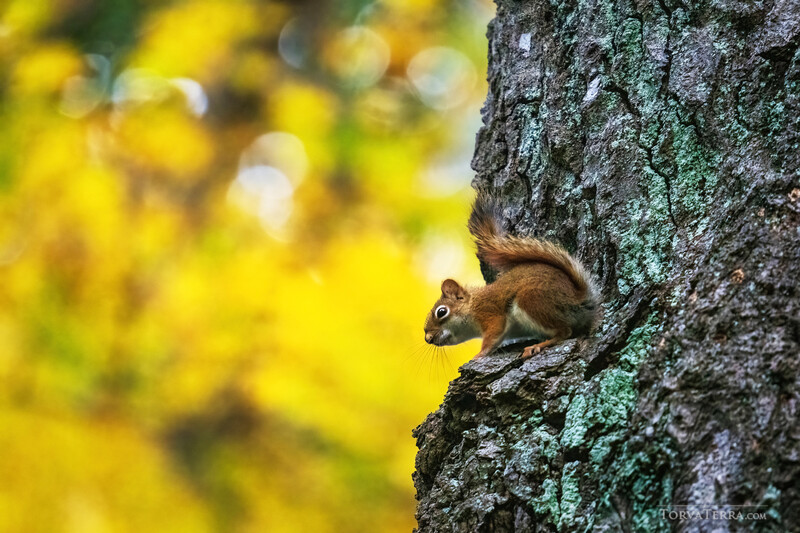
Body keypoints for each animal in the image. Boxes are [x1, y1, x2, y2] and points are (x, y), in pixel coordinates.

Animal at [423, 197, 600, 359]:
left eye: (441, 312)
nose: (428, 338)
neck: (472, 305)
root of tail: (578, 299)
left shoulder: (489, 312)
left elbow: (493, 334)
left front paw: (479, 354)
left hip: (533, 300)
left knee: (565, 331)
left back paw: (537, 346)